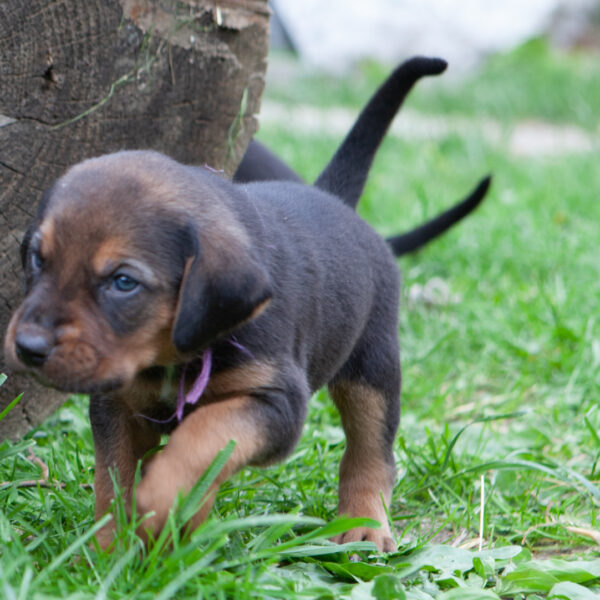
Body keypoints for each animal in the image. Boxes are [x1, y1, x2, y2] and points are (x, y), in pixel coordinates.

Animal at [4, 57, 490, 552]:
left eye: (123, 282)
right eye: (37, 258)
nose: (27, 347)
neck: (172, 356)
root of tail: (333, 198)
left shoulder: (276, 403)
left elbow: (204, 435)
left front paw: (160, 495)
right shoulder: (116, 406)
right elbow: (113, 482)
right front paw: (107, 551)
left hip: (373, 366)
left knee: (371, 451)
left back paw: (364, 526)